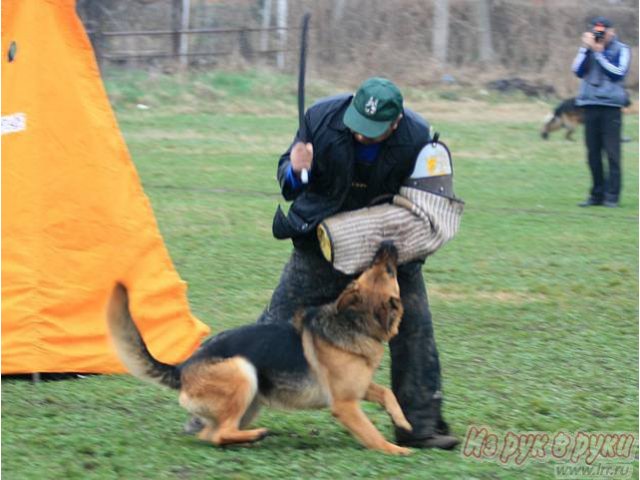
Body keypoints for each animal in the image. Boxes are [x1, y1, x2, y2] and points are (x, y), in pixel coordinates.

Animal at [107, 242, 412, 456]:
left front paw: (403, 422)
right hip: (243, 372)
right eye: (388, 271)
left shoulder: (359, 388)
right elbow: (372, 434)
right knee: (220, 433)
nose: (387, 244)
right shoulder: (345, 405)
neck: (353, 322)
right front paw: (396, 449)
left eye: (377, 269)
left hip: (250, 401)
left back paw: (245, 440)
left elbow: (387, 393)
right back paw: (257, 435)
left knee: (211, 435)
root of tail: (182, 368)